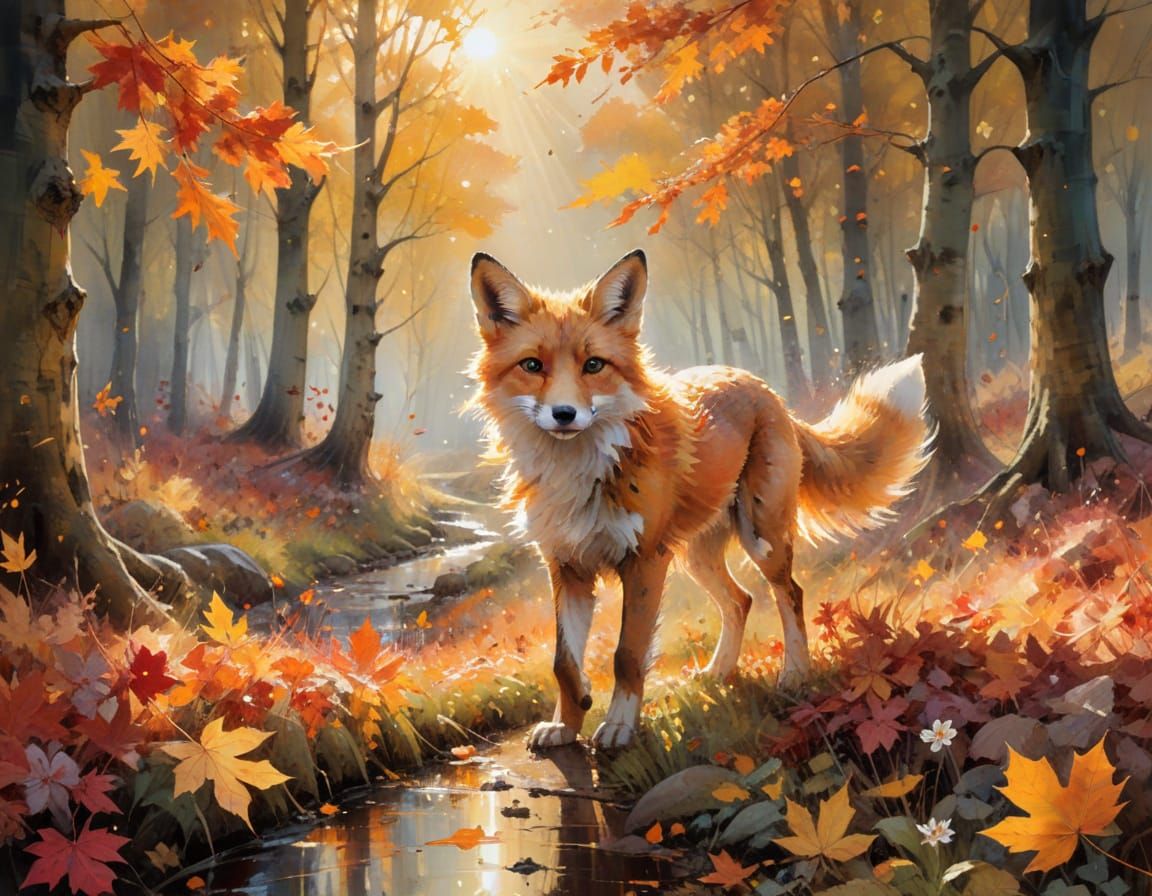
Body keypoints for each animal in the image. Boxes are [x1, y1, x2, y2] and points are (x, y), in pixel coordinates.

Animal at [467, 249, 932, 751]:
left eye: (593, 365)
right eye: (533, 366)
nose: (565, 414)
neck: (578, 474)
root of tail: (765, 390)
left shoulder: (645, 561)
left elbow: (627, 655)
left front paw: (619, 727)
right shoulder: (566, 566)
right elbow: (564, 663)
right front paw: (567, 726)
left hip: (760, 537)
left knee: (790, 593)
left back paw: (794, 673)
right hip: (696, 556)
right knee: (741, 600)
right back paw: (719, 672)